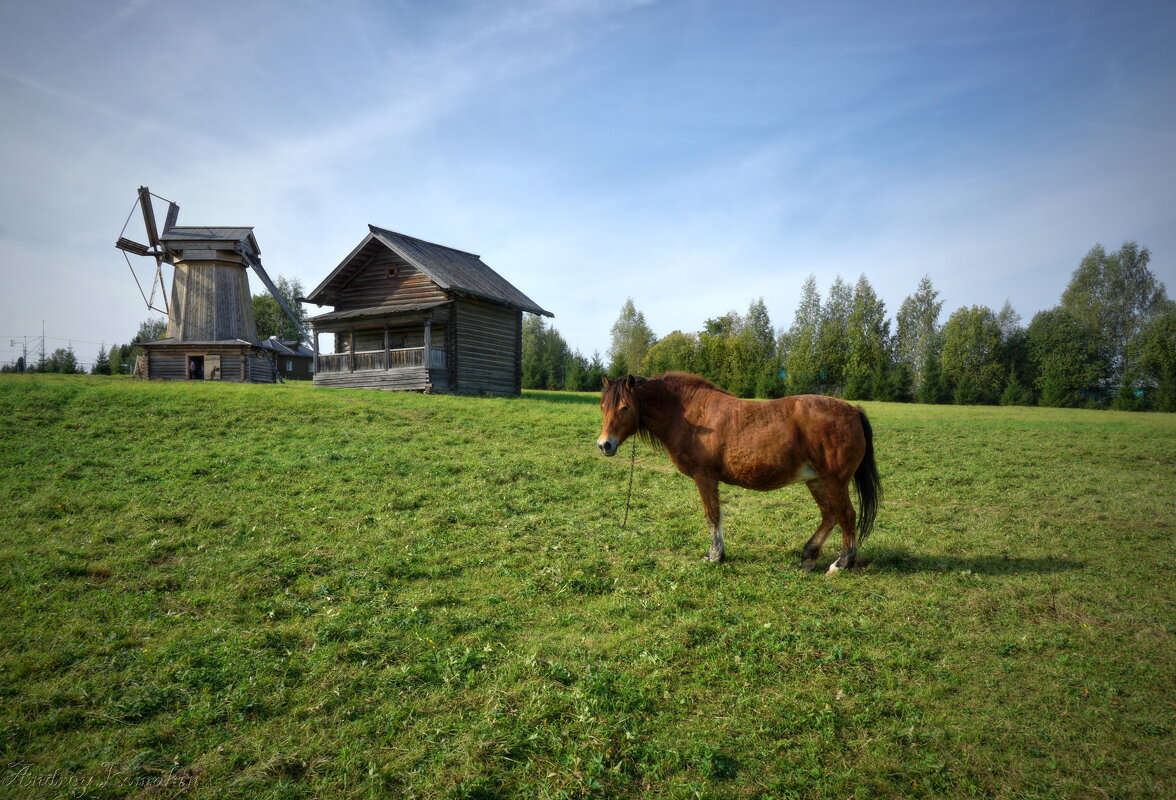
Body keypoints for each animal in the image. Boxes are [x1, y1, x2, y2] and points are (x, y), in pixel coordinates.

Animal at [597, 371, 884, 571]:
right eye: (603, 407)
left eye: (625, 407)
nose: (604, 445)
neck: (692, 415)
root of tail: (853, 410)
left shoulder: (705, 477)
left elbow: (712, 516)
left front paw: (715, 556)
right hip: (816, 480)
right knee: (830, 515)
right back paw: (809, 556)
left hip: (834, 480)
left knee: (846, 515)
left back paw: (841, 563)